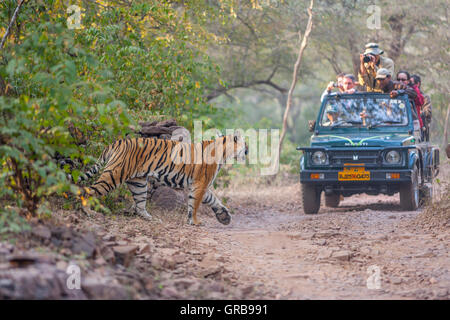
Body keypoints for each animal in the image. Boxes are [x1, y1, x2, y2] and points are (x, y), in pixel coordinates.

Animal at [76, 130, 246, 225]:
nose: (247, 151)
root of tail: (117, 142)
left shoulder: (198, 185)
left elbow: (212, 199)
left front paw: (224, 217)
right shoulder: (200, 183)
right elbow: (195, 204)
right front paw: (195, 222)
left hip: (138, 183)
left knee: (140, 205)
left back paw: (152, 219)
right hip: (114, 175)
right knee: (88, 190)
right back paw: (88, 211)